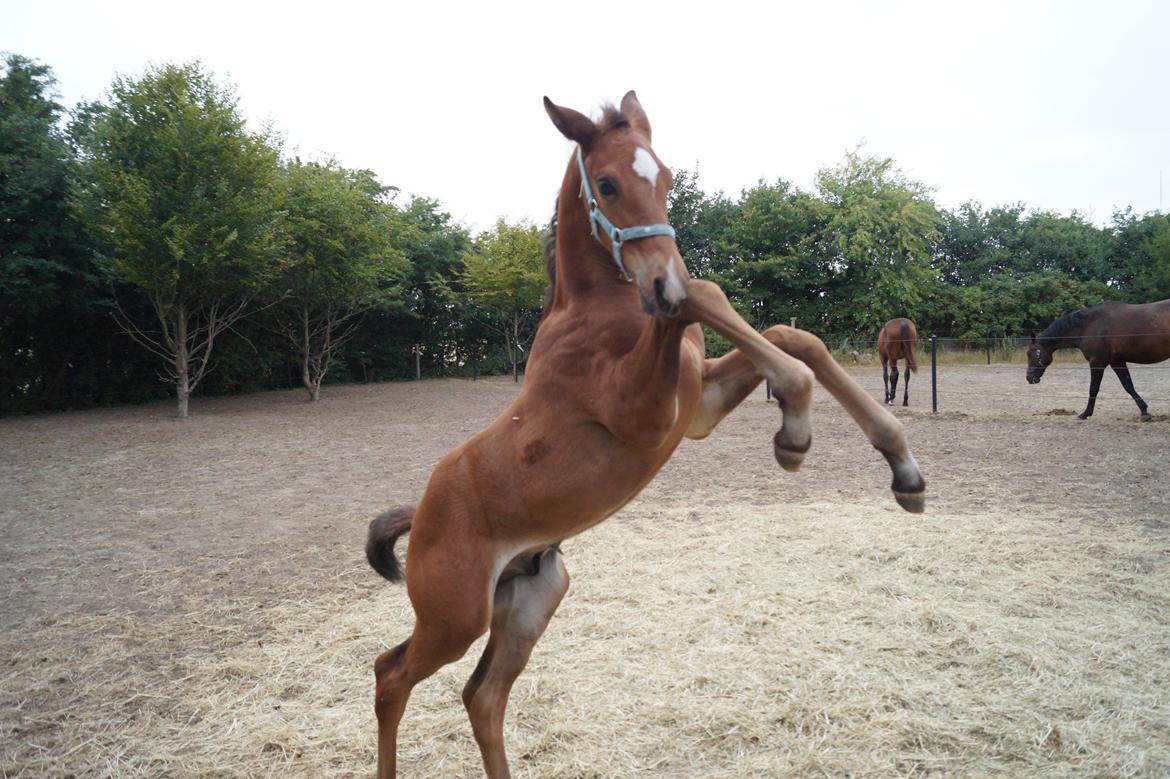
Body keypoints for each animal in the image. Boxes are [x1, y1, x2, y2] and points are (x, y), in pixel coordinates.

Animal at [362, 92, 921, 776]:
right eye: (606, 184)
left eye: (669, 178)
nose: (660, 281)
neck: (598, 312)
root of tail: (421, 511)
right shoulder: (645, 415)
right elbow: (708, 294)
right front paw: (795, 428)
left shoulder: (696, 408)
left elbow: (794, 336)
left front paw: (897, 466)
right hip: (454, 616)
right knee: (391, 675)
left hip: (532, 598)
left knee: (482, 696)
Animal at [1024, 297, 1170, 418]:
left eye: (1030, 353)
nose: (1029, 377)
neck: (1088, 325)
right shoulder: (1116, 361)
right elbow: (1128, 385)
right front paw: (1144, 411)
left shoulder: (1097, 362)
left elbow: (1093, 388)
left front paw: (1086, 413)